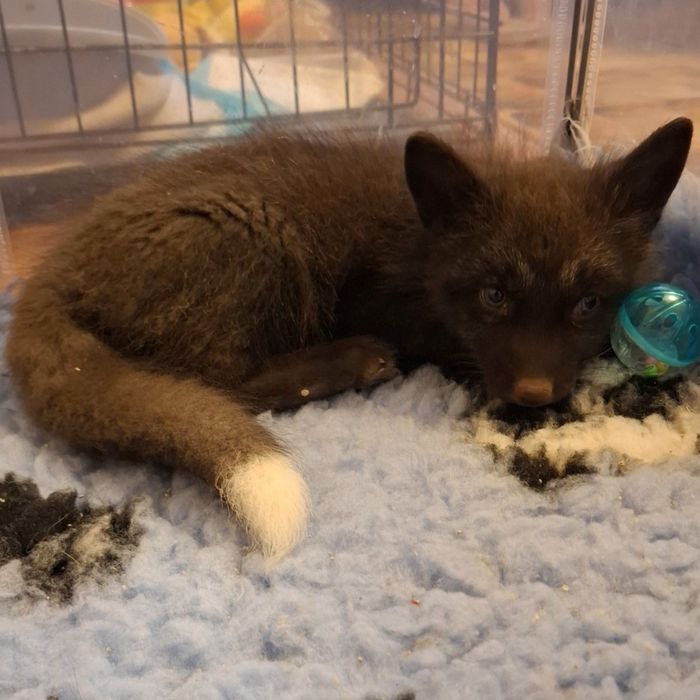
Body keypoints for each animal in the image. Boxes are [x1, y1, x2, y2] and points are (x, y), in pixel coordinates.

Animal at [5, 118, 693, 559]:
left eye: (588, 303)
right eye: (493, 296)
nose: (532, 398)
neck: (421, 250)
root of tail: (53, 273)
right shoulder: (382, 304)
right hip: (258, 239)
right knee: (217, 380)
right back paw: (357, 361)